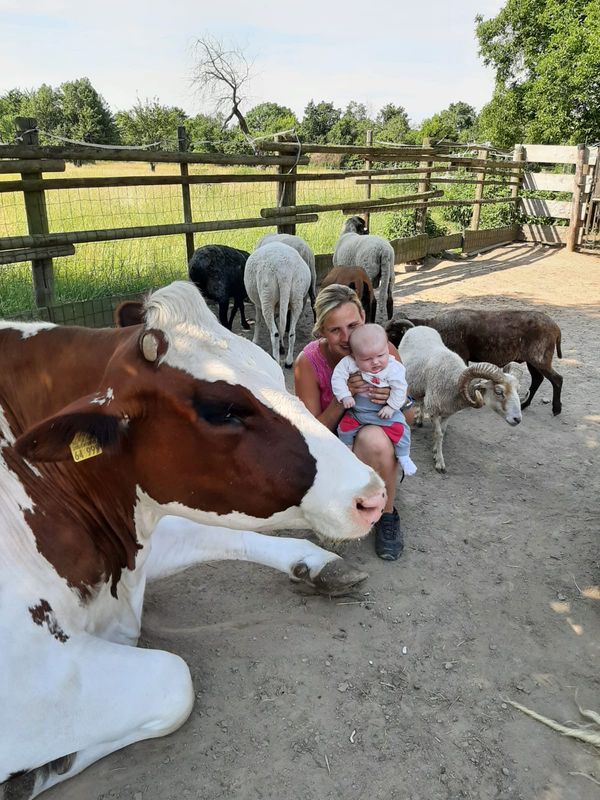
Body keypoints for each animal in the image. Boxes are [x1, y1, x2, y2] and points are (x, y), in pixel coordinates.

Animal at [0, 278, 384, 796]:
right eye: (222, 410)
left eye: (274, 369)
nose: (372, 495)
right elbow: (174, 680)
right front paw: (34, 770)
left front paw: (319, 564)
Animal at [386, 310, 564, 416]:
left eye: (393, 334)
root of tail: (556, 328)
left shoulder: (461, 355)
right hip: (532, 360)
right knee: (538, 379)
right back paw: (525, 403)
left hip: (540, 358)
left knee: (557, 379)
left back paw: (556, 409)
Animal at [400, 326, 524, 476]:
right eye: (498, 391)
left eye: (518, 389)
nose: (517, 419)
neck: (453, 381)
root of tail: (418, 327)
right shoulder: (434, 409)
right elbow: (439, 434)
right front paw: (440, 462)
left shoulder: (448, 412)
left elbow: (442, 431)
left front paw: (435, 450)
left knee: (422, 402)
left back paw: (419, 418)